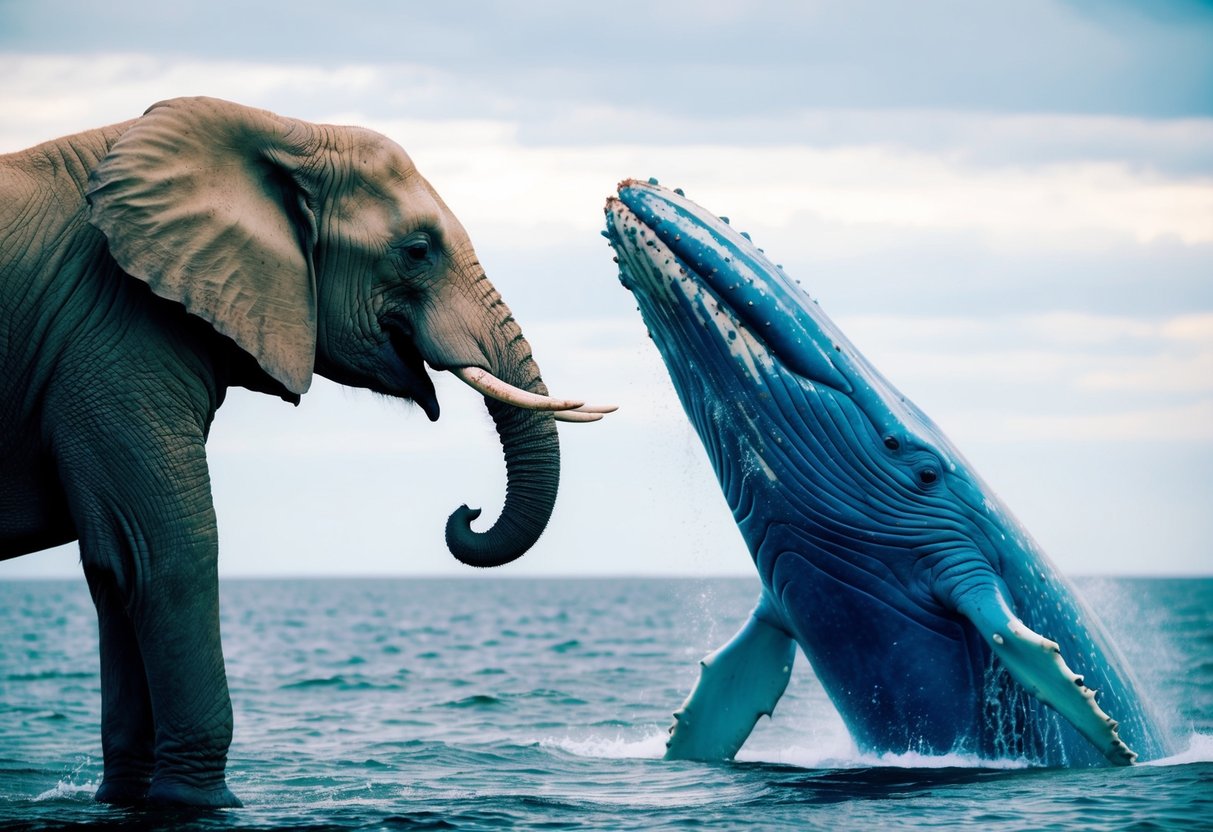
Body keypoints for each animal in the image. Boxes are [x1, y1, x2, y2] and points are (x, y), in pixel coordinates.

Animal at [0, 97, 611, 808]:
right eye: (417, 250)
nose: (469, 511)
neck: (277, 130)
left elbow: (114, 568)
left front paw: (131, 799)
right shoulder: (115, 330)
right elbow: (165, 551)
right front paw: (202, 804)